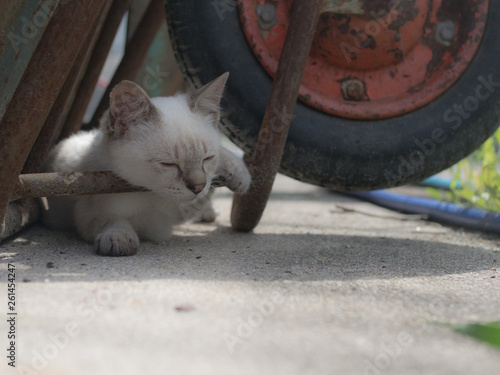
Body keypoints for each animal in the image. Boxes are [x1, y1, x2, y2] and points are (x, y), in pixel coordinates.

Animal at [42, 72, 252, 258]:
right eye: (168, 164)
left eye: (207, 158)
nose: (198, 186)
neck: (150, 195)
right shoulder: (90, 213)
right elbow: (110, 219)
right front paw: (118, 238)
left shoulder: (175, 213)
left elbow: (210, 184)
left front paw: (238, 174)